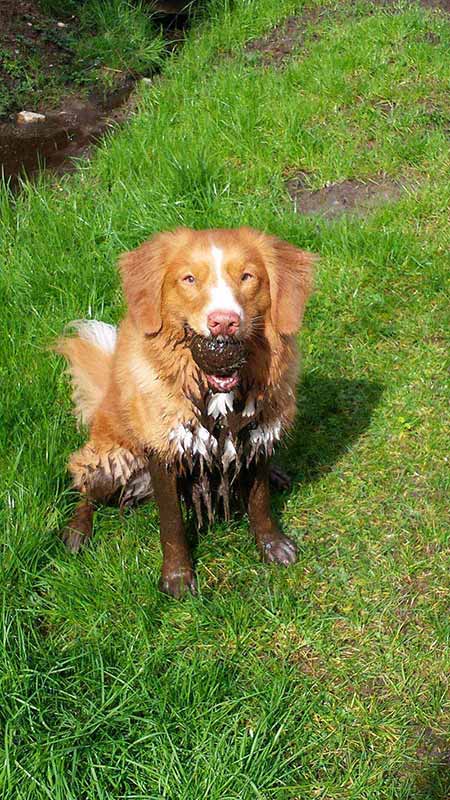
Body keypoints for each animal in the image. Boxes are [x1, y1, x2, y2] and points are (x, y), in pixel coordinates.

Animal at [55, 225, 312, 592]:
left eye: (247, 276)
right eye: (189, 279)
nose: (223, 322)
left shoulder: (259, 435)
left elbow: (260, 501)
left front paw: (273, 545)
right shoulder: (166, 449)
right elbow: (172, 525)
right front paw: (177, 577)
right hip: (111, 462)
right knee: (84, 491)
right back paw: (77, 532)